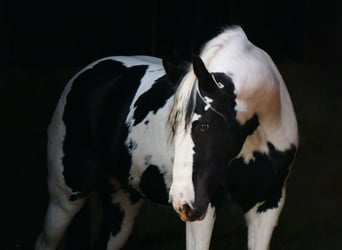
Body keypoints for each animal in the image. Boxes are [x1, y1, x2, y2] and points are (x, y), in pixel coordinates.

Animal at [34, 26, 296, 249]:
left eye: (204, 125)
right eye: (174, 126)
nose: (181, 202)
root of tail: (85, 75)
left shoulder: (267, 204)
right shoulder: (205, 207)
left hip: (122, 203)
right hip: (65, 198)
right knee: (44, 241)